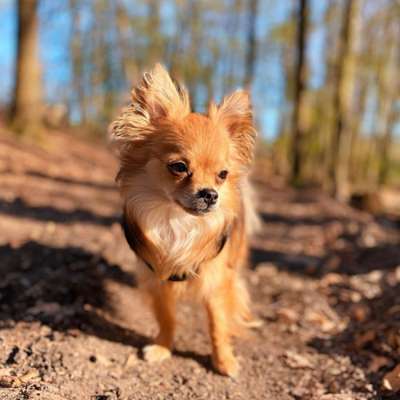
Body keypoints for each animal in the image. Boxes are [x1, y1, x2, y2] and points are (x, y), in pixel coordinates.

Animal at [109, 64, 260, 376]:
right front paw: (163, 348)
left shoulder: (217, 281)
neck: (177, 221)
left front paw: (224, 361)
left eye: (222, 174)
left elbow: (218, 324)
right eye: (178, 167)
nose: (210, 194)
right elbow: (166, 317)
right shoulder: (157, 277)